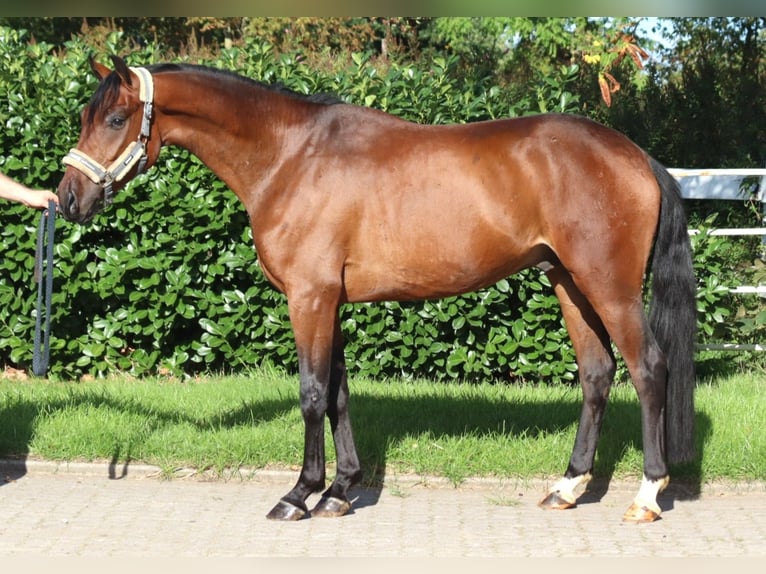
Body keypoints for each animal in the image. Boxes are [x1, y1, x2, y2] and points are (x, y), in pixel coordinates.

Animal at [57, 55, 697, 523]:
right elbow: (339, 394)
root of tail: (637, 156)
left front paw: (299, 494)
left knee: (648, 370)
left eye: (115, 120)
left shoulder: (308, 299)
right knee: (596, 374)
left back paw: (646, 495)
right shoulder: (330, 302)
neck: (290, 155)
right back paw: (567, 487)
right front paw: (341, 491)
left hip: (609, 288)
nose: (67, 199)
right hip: (568, 283)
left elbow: (312, 394)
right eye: (88, 118)